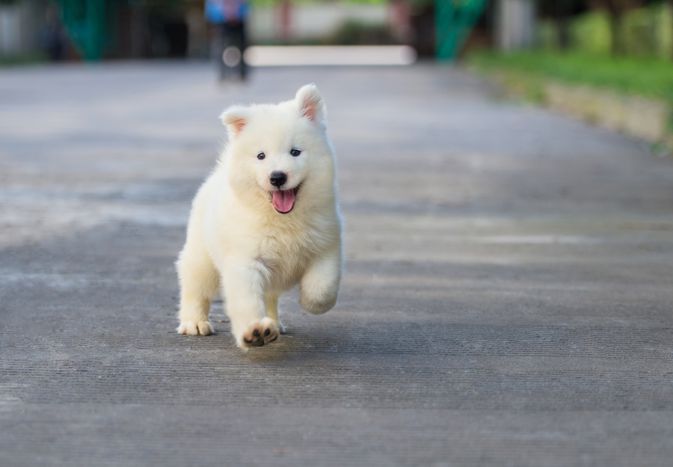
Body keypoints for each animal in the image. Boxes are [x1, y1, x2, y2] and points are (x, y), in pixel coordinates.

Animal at [176, 84, 342, 350]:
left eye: (295, 152)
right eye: (261, 156)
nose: (277, 177)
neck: (283, 219)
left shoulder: (326, 246)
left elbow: (323, 287)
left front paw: (310, 303)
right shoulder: (246, 260)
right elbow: (247, 300)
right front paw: (253, 331)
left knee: (270, 296)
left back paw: (274, 325)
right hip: (202, 256)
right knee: (194, 286)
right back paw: (194, 322)